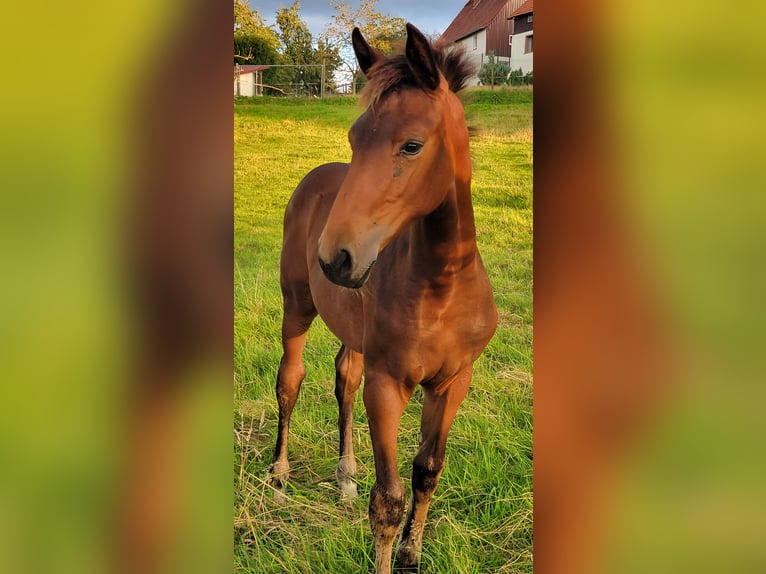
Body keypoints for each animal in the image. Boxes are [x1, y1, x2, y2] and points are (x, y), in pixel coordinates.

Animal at [268, 23, 498, 574]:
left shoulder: (453, 382)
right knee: (290, 380)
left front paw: (413, 553)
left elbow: (428, 470)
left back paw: (346, 473)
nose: (335, 258)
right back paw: (280, 473)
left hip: (354, 332)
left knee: (344, 379)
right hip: (296, 307)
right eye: (355, 139)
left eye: (411, 145)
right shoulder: (388, 384)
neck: (442, 285)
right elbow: (388, 500)